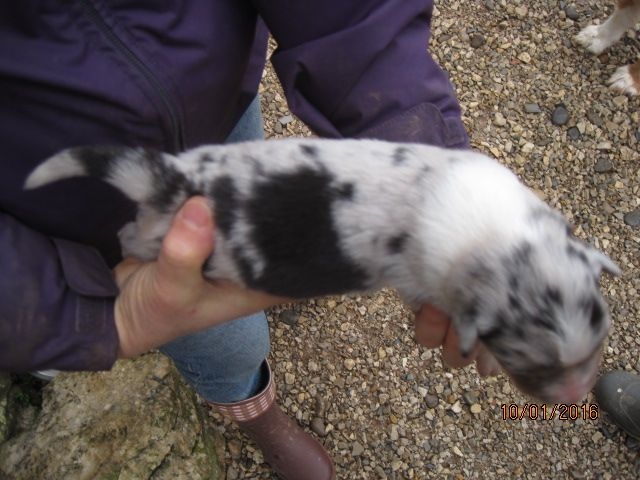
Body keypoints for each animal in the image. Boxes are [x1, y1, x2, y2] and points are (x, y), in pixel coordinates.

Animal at [25, 138, 620, 402]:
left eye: (596, 346)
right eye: (531, 365)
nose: (575, 397)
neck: (499, 239)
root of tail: (179, 181)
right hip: (174, 239)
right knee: (132, 237)